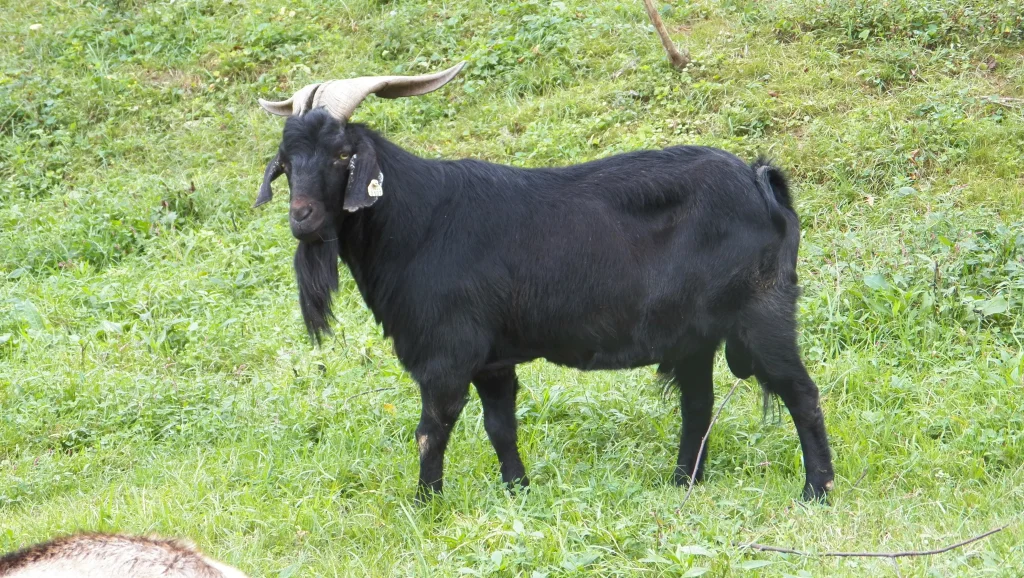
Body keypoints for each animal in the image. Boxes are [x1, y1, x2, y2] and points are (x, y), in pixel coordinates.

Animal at [254, 62, 835, 501]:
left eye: (342, 154)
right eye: (286, 160)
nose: (302, 218)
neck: (419, 221)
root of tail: (761, 182)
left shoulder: (447, 353)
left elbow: (430, 431)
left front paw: (426, 504)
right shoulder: (493, 359)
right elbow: (500, 426)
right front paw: (518, 491)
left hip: (762, 312)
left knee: (801, 392)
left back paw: (816, 491)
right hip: (695, 334)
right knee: (699, 404)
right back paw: (681, 485)